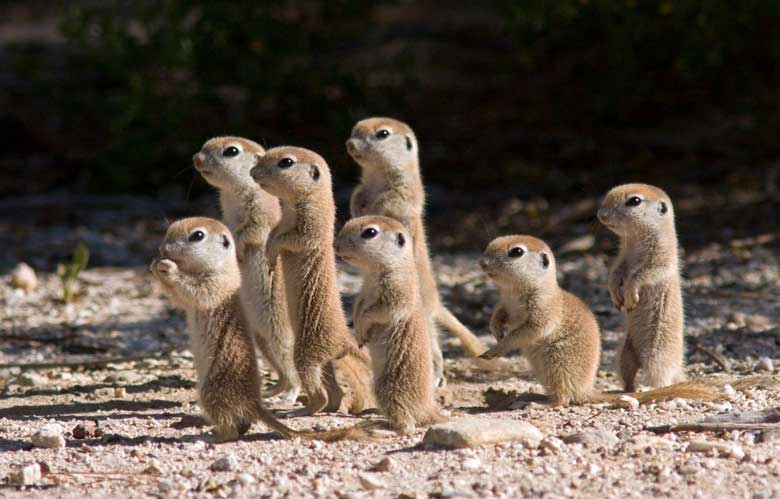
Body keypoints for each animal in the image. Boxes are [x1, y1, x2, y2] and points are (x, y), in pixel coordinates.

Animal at [152, 219, 372, 442]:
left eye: (197, 235)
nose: (162, 249)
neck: (222, 265)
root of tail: (255, 404)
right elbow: (179, 299)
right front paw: (155, 265)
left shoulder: (214, 284)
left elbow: (192, 290)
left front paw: (167, 267)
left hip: (210, 393)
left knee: (232, 431)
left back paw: (210, 437)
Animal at [348, 117, 488, 386]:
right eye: (354, 129)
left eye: (383, 134)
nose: (349, 143)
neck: (376, 177)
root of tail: (436, 302)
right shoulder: (361, 189)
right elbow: (356, 197)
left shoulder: (402, 195)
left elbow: (389, 208)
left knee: (434, 347)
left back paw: (437, 377)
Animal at [482, 235, 720, 406]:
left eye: (516, 251)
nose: (482, 263)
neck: (515, 291)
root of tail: (587, 391)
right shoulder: (505, 304)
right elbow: (499, 315)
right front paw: (495, 330)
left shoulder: (544, 310)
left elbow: (529, 330)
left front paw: (497, 348)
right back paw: (531, 396)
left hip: (557, 367)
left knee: (564, 399)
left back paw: (540, 403)